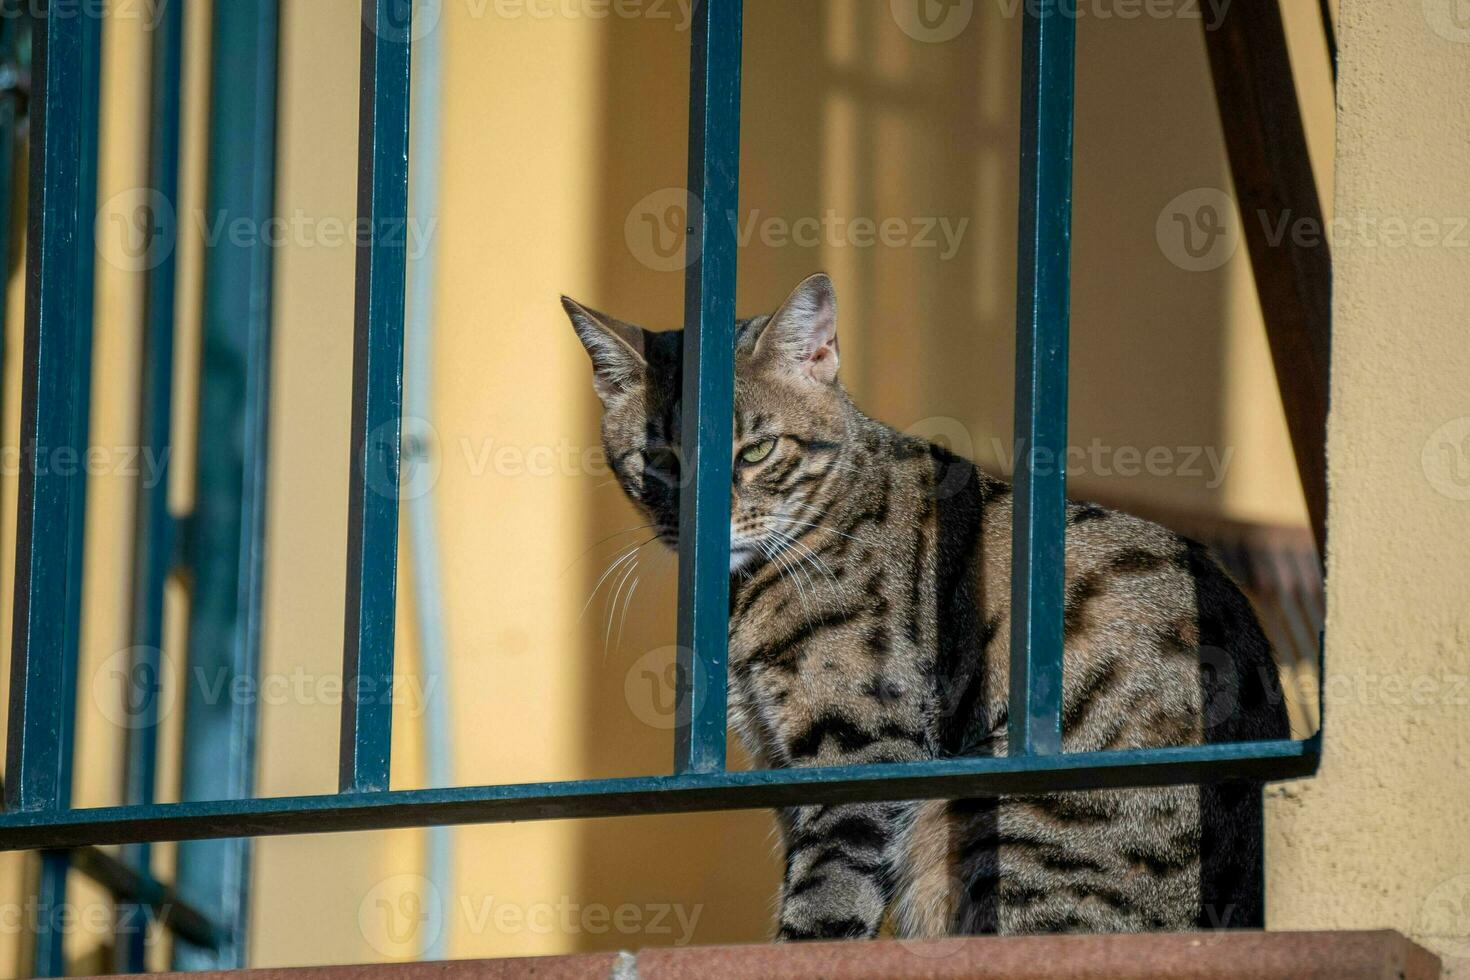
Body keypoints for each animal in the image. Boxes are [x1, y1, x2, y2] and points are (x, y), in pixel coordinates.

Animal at [561, 274, 1287, 940]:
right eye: (658, 459)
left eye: (757, 451)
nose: (699, 522)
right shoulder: (781, 764)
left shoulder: (861, 745)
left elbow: (825, 898)